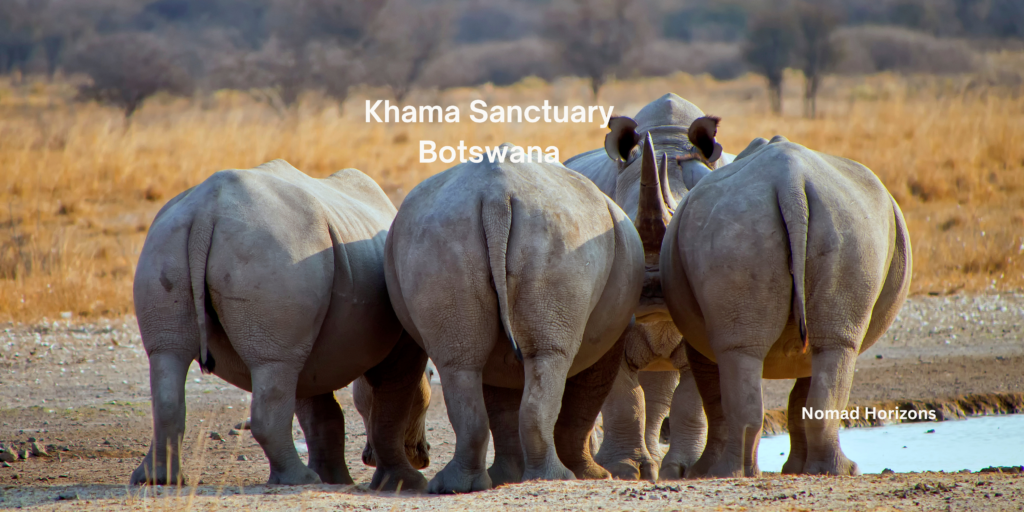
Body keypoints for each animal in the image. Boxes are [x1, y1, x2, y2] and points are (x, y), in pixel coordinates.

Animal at [130, 160, 430, 491]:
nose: (423, 456)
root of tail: (207, 209)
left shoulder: (314, 346)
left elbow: (320, 412)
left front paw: (336, 480)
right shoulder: (401, 344)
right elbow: (391, 407)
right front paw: (406, 483)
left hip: (168, 239)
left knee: (169, 355)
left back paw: (157, 480)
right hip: (275, 249)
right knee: (273, 363)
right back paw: (300, 480)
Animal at [384, 147, 645, 493]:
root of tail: (497, 195)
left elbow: (501, 406)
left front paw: (506, 477)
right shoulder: (611, 336)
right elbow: (584, 403)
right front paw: (595, 476)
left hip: (438, 233)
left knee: (461, 364)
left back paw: (455, 486)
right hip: (557, 231)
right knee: (549, 356)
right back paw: (556, 478)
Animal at [649, 126, 912, 477]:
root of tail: (791, 181)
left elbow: (785, 397)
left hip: (834, 224)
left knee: (826, 347)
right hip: (832, 224)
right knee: (825, 349)